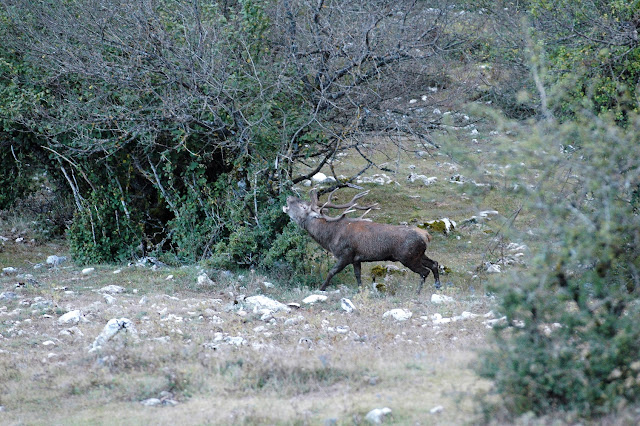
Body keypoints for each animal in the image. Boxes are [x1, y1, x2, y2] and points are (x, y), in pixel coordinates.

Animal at [282, 189, 441, 294]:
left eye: (303, 206)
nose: (288, 197)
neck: (330, 238)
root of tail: (426, 235)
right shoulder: (356, 258)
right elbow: (357, 275)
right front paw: (359, 291)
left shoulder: (345, 254)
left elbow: (331, 272)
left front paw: (321, 289)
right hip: (418, 254)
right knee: (434, 263)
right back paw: (438, 286)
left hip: (407, 256)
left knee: (424, 271)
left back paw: (418, 292)